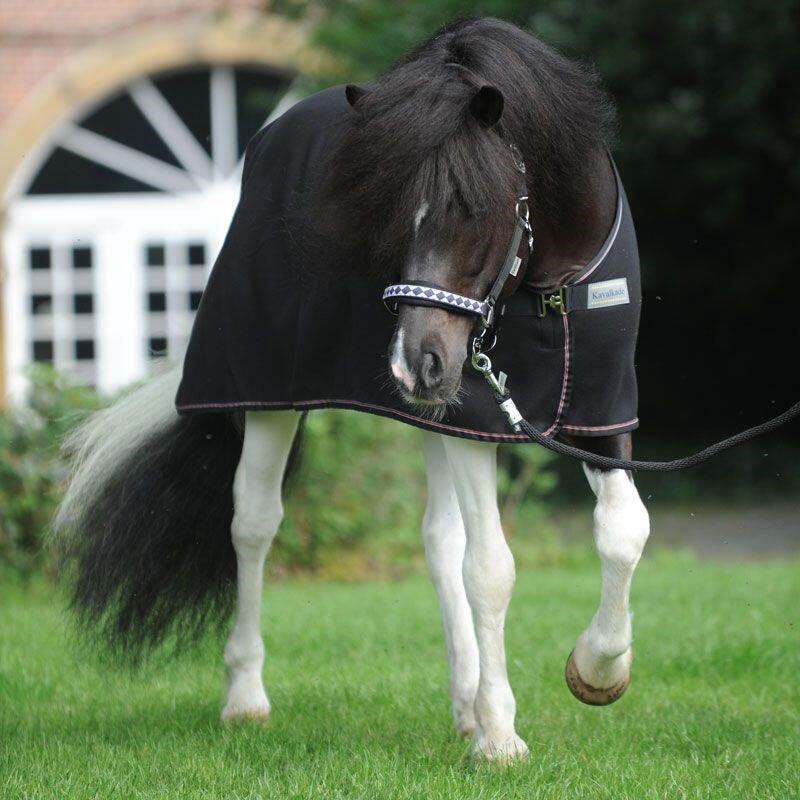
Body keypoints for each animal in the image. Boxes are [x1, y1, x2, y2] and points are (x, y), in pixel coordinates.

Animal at [55, 18, 650, 763]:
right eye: (390, 212)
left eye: (473, 207)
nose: (415, 365)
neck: (554, 285)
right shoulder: (478, 414)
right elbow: (491, 568)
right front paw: (501, 739)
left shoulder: (601, 410)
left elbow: (623, 530)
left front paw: (596, 672)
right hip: (271, 397)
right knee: (253, 522)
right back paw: (245, 698)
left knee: (438, 539)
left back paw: (463, 705)